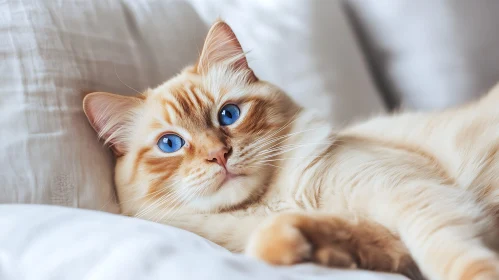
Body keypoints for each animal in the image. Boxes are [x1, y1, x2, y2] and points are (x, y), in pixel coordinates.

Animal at [83, 20, 499, 280]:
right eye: (170, 144)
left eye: (228, 114)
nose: (219, 155)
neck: (271, 204)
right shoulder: (391, 240)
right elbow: (283, 240)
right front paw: (309, 251)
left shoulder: (415, 195)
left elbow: (448, 254)